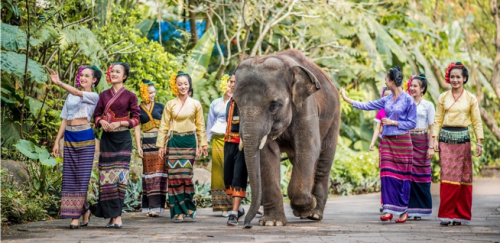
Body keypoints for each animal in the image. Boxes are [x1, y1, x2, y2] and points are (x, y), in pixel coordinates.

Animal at [232, 48, 342, 227]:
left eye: (273, 105)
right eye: (235, 103)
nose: (247, 225)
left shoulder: (306, 106)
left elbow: (308, 147)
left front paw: (305, 208)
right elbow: (267, 154)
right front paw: (272, 222)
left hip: (334, 117)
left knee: (323, 159)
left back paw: (314, 214)